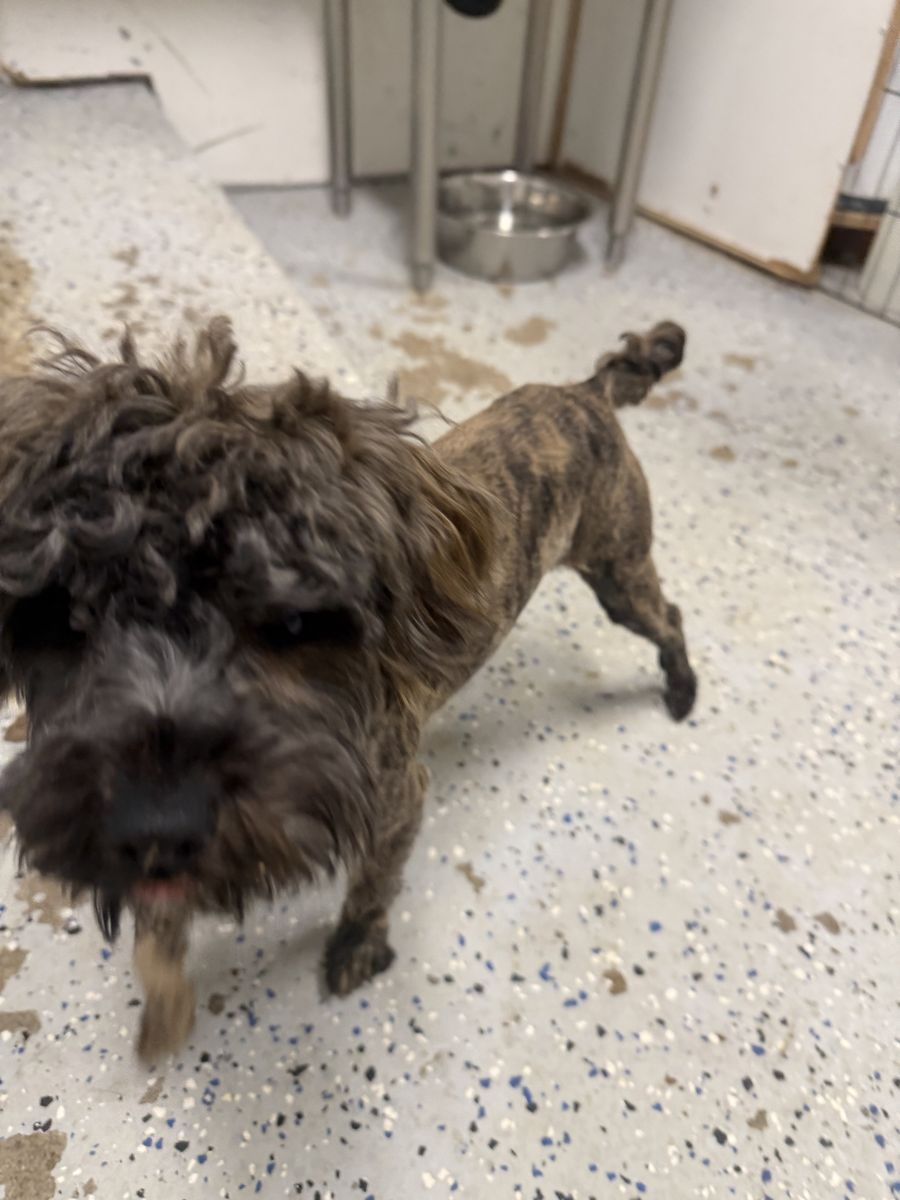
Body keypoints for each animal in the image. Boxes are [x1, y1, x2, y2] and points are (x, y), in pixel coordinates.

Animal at [0, 317, 695, 1062]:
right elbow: (157, 936)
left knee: (671, 617)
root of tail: (588, 391)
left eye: (295, 622)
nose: (156, 822)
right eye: (60, 619)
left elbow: (372, 884)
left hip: (618, 570)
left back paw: (683, 691)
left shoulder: (397, 800)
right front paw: (164, 1006)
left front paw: (356, 946)